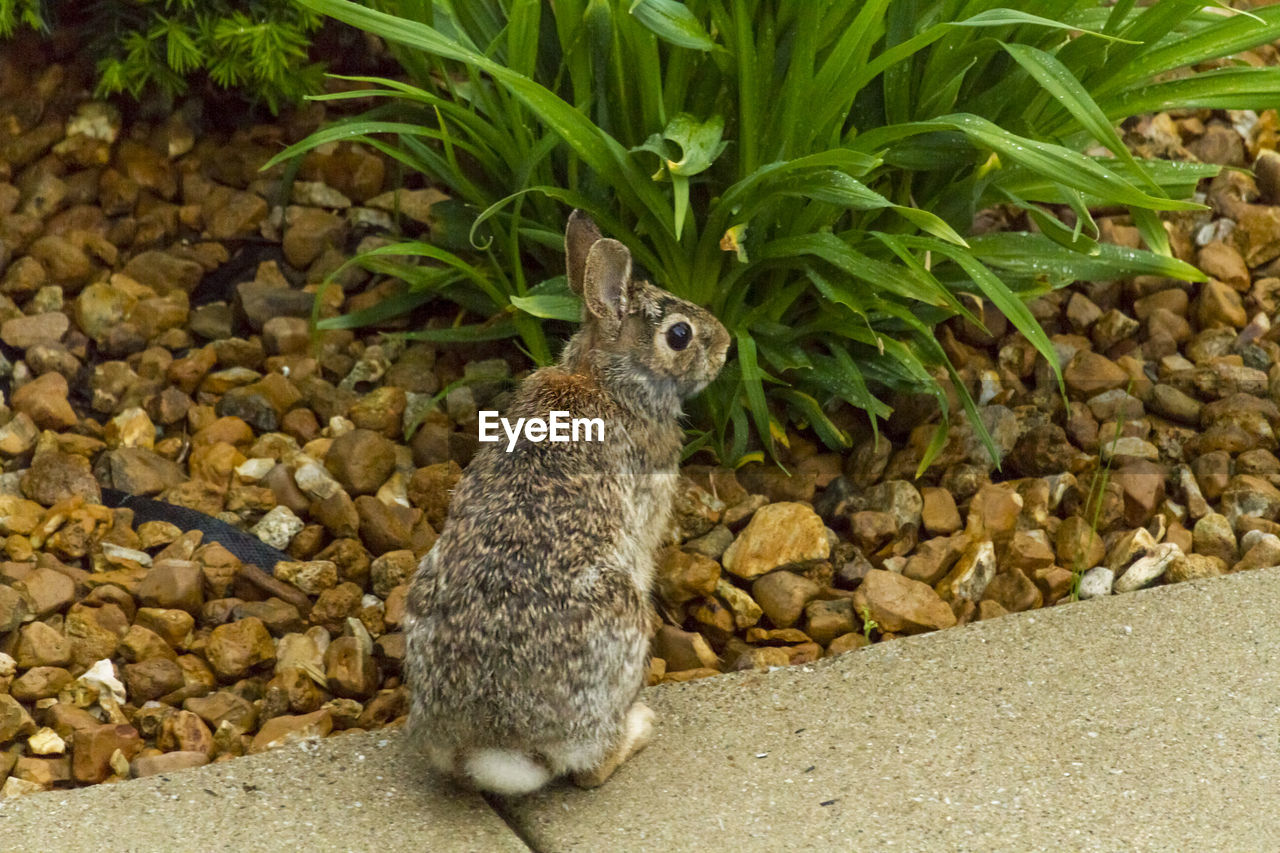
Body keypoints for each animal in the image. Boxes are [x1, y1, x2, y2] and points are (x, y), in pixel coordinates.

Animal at [407, 208, 732, 794]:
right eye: (679, 335)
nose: (727, 345)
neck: (606, 377)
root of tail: (495, 742)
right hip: (623, 617)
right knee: (591, 771)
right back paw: (638, 729)